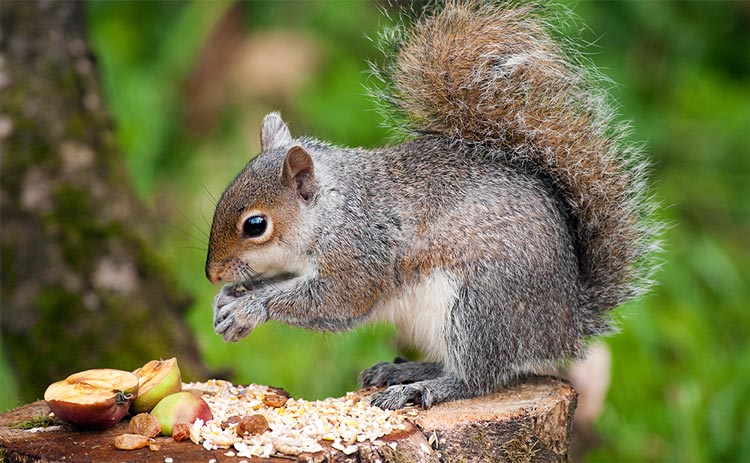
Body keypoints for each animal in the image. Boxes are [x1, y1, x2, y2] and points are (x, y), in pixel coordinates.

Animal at [205, 1, 661, 409]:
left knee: (479, 377)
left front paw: (249, 307)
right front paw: (228, 300)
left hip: (479, 307)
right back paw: (406, 370)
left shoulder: (360, 257)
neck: (332, 211)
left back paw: (424, 389)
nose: (212, 274)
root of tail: (565, 323)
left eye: (255, 225)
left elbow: (333, 302)